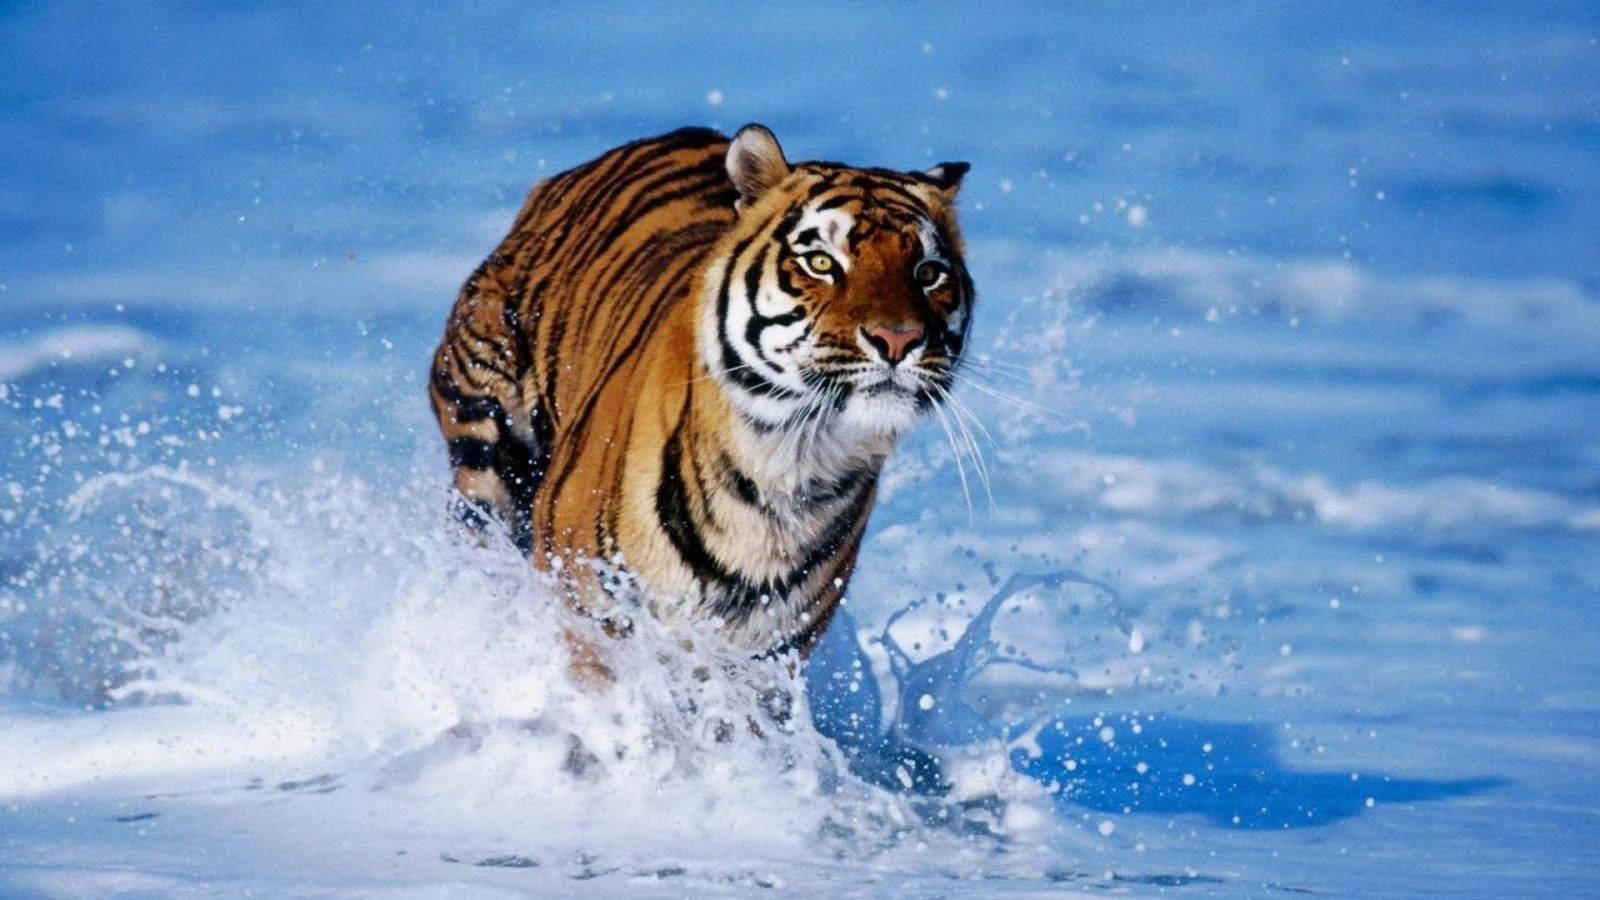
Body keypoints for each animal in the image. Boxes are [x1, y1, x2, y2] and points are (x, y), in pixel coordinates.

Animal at [428, 124, 972, 664]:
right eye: (821, 262)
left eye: (928, 273)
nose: (898, 339)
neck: (790, 466)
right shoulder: (590, 609)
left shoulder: (768, 655)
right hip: (486, 447)